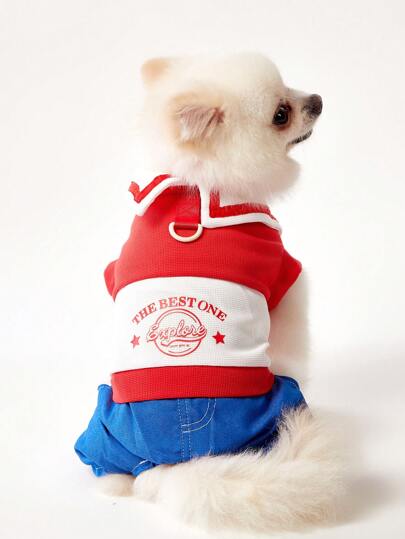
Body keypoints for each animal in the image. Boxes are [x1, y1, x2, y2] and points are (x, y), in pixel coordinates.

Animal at [75, 52, 343, 533]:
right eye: (280, 114)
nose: (317, 100)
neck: (197, 184)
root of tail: (175, 463)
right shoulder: (282, 270)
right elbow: (291, 336)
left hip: (102, 420)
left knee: (110, 470)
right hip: (281, 403)